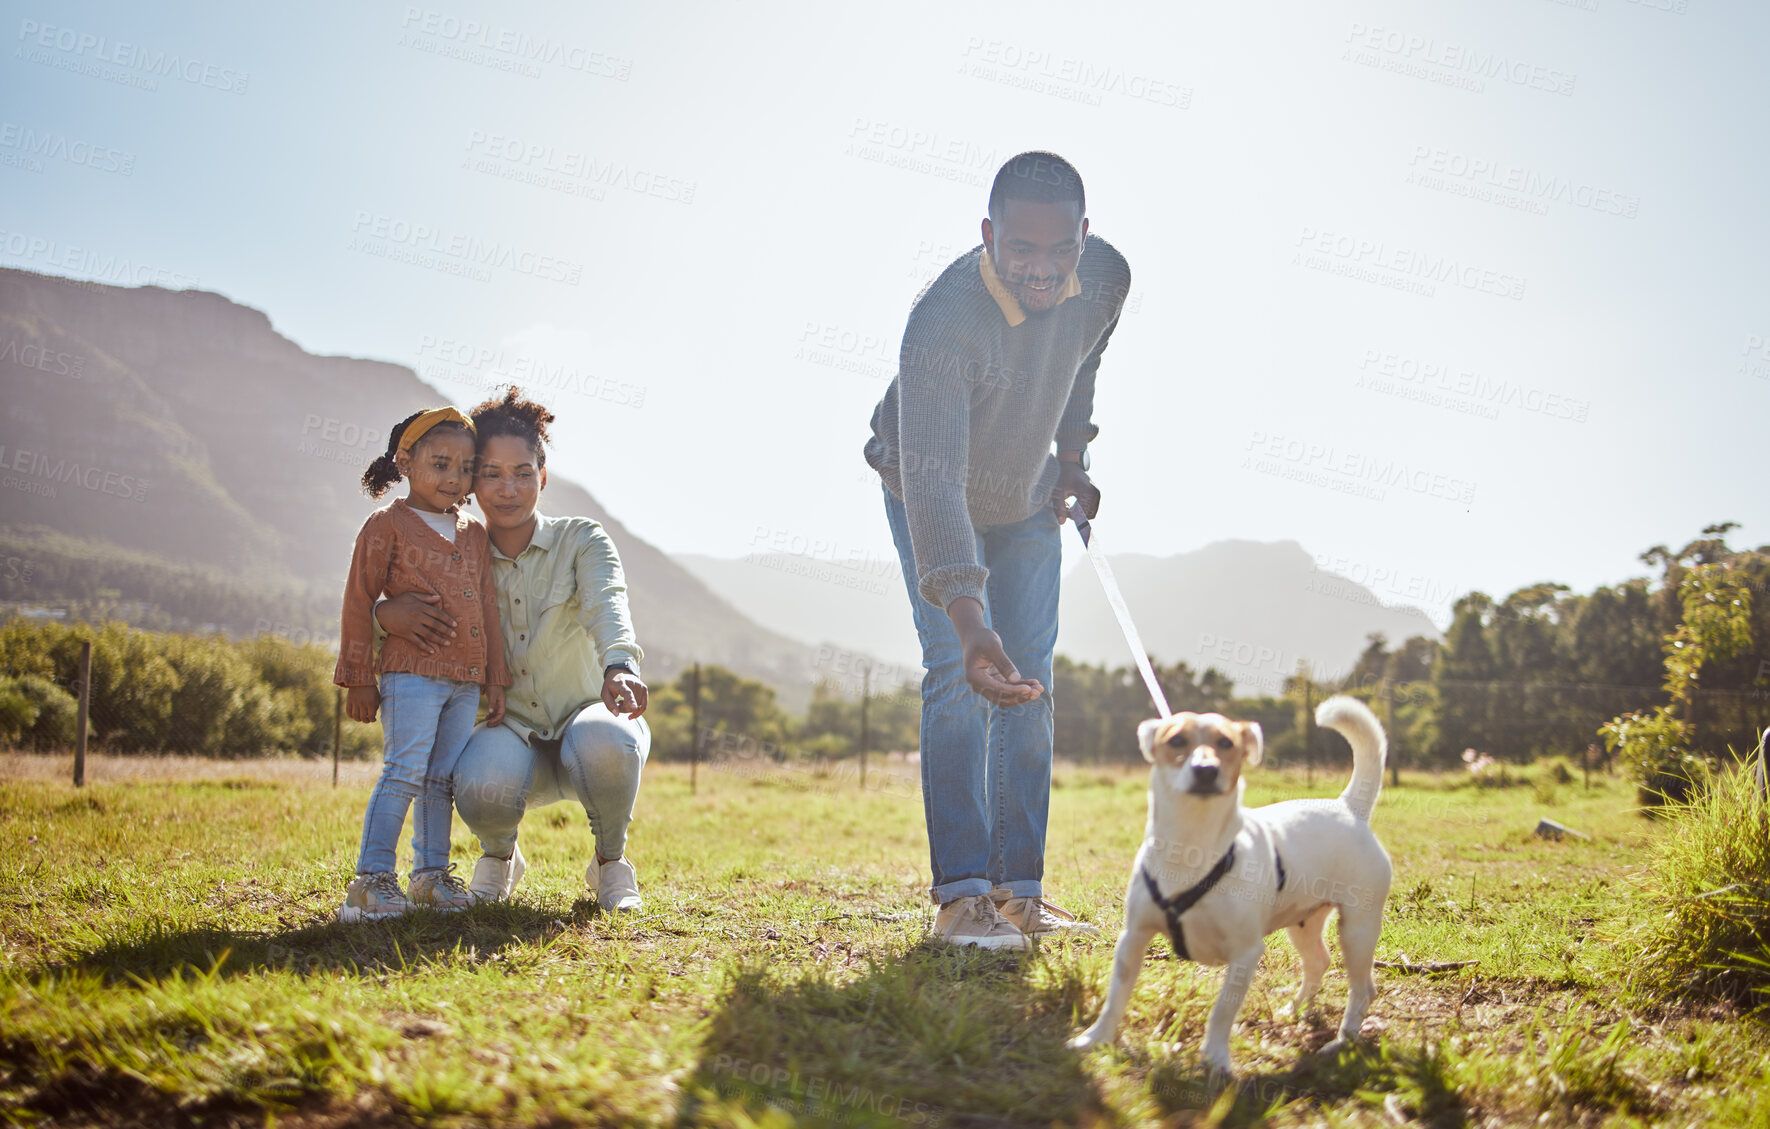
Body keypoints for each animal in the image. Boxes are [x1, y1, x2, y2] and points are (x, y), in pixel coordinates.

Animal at [1069, 693, 1387, 1075]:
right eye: (1176, 740)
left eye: (1226, 744)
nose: (1206, 769)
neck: (1190, 846)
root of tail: (1349, 808)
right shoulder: (1133, 938)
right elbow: (1116, 996)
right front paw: (1095, 1038)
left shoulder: (1245, 953)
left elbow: (1223, 1010)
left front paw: (1216, 1058)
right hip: (1304, 923)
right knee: (1319, 963)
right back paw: (1294, 1010)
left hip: (1358, 928)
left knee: (1361, 989)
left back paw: (1344, 1040)